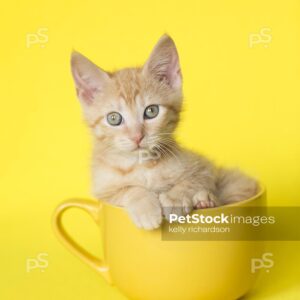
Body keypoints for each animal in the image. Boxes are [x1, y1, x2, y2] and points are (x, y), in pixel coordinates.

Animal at [70, 34, 258, 230]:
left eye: (151, 111)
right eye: (114, 118)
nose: (137, 137)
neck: (142, 164)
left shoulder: (205, 168)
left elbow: (193, 180)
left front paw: (175, 200)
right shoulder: (103, 191)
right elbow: (129, 189)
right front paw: (146, 209)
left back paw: (205, 201)